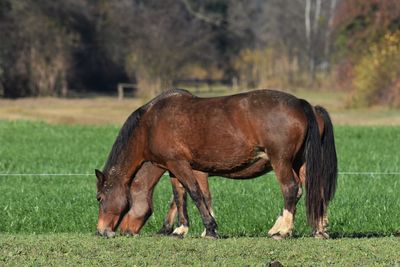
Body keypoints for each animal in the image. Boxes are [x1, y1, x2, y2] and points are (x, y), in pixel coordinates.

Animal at [96, 89, 338, 240]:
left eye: (99, 198)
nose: (103, 231)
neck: (151, 123)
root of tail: (303, 104)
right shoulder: (179, 168)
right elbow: (183, 196)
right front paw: (184, 229)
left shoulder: (179, 165)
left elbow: (194, 194)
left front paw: (209, 229)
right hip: (302, 164)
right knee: (317, 191)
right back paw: (319, 230)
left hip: (282, 162)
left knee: (291, 190)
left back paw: (281, 230)